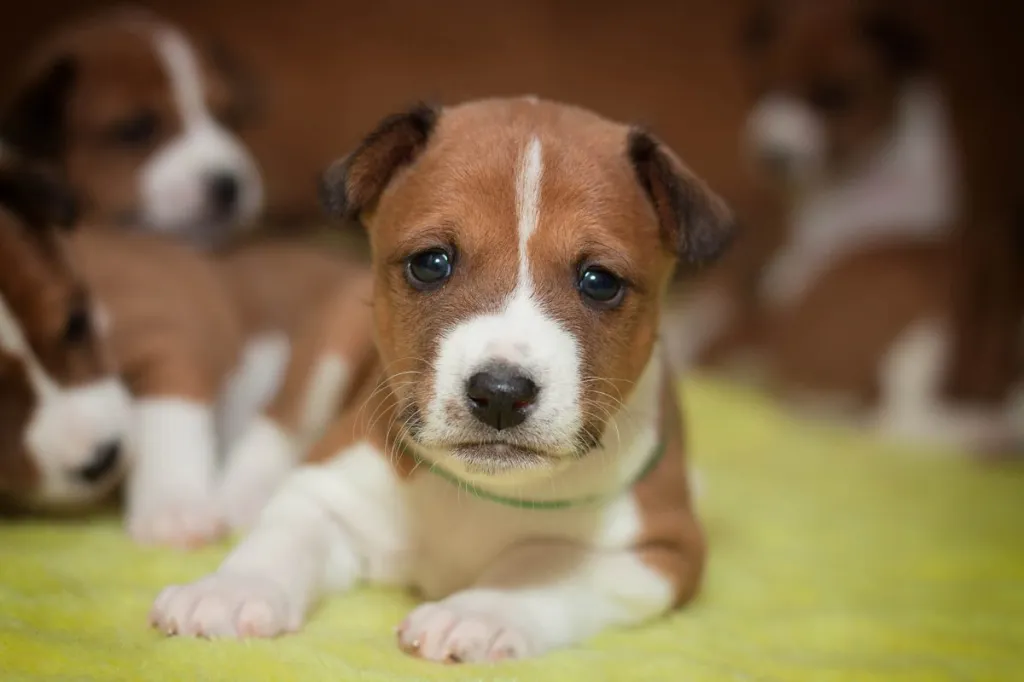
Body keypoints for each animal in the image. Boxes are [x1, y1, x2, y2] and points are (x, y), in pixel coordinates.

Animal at [148, 98, 733, 659]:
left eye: (600, 281)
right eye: (431, 262)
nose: (501, 394)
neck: (479, 491)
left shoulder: (658, 551)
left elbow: (541, 565)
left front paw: (478, 612)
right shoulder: (328, 492)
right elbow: (283, 538)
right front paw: (230, 589)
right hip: (327, 353)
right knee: (276, 426)